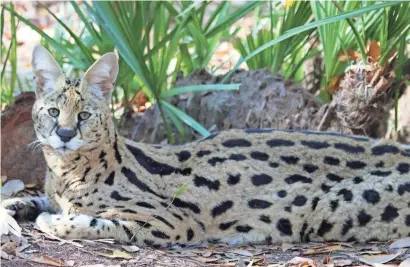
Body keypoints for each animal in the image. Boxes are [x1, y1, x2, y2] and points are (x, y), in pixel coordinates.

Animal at [2, 46, 410, 249]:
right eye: (54, 111)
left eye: (84, 114)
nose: (64, 133)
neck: (65, 172)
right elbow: (37, 200)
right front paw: (17, 208)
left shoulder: (173, 221)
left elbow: (93, 221)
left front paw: (53, 221)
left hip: (329, 209)